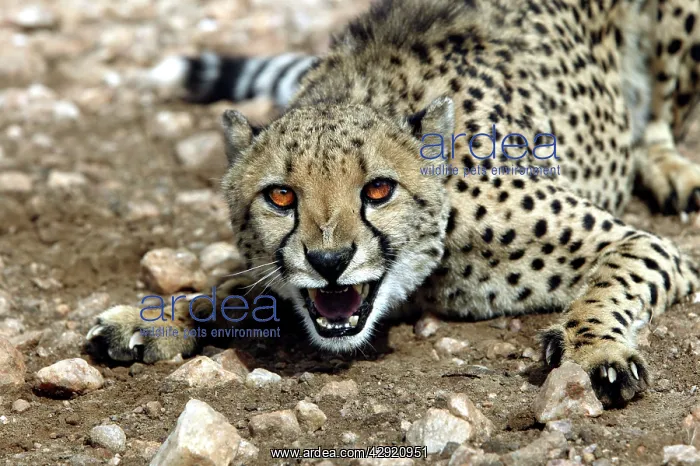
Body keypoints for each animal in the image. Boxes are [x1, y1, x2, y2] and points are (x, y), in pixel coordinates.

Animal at [87, 0, 700, 408]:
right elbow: (241, 287)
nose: (329, 262)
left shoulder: (642, 242)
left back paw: (670, 169)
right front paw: (160, 316)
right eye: (281, 196)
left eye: (378, 190)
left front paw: (594, 352)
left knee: (662, 118)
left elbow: (610, 282)